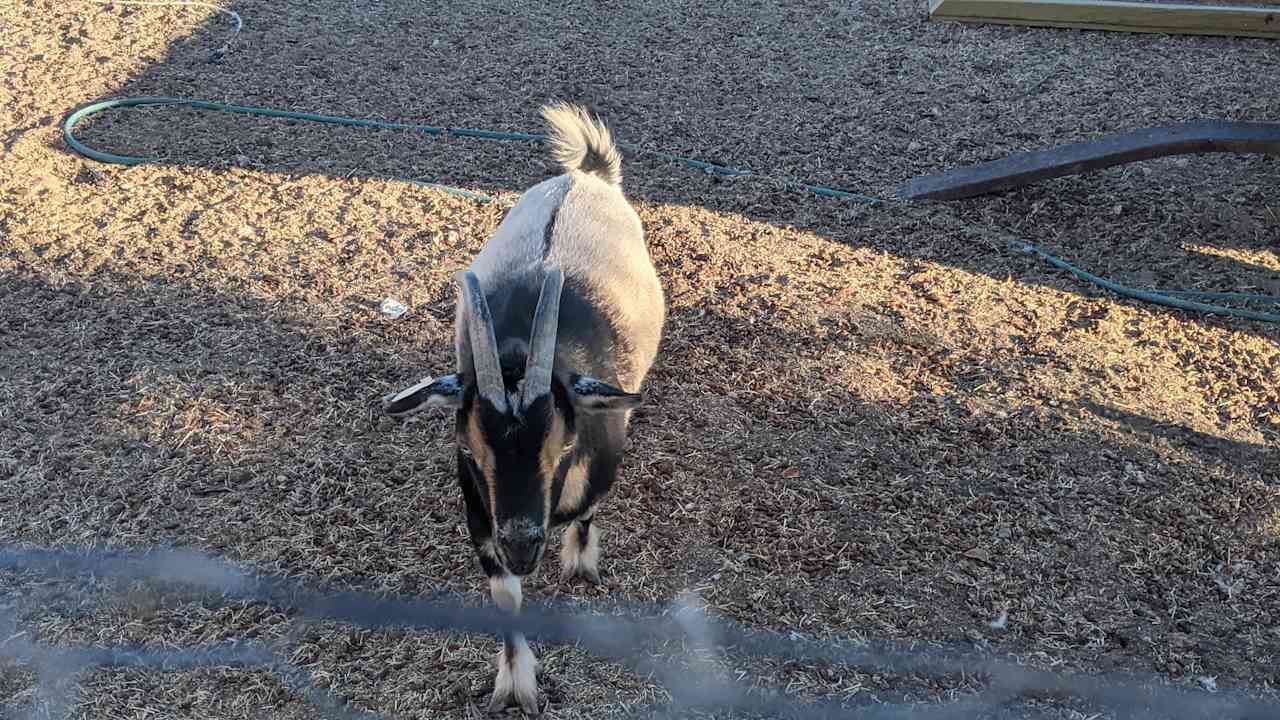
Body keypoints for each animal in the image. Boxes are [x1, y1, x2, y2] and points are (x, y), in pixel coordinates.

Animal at [378, 102, 665, 712]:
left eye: (565, 443)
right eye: (468, 447)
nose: (522, 547)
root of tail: (586, 176)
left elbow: (586, 511)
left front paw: (581, 561)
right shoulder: (480, 514)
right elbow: (505, 599)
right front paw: (516, 689)